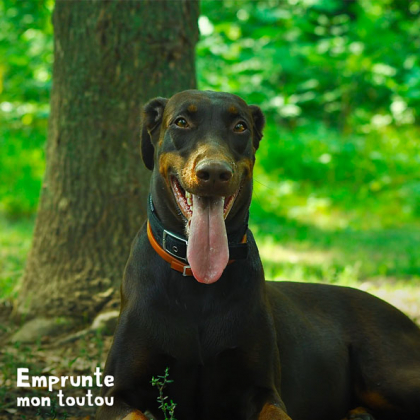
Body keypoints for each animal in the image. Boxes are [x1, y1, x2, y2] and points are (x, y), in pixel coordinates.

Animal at [96, 89, 420, 420]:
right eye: (181, 122)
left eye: (240, 127)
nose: (215, 172)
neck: (197, 284)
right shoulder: (114, 393)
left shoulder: (261, 388)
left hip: (388, 376)